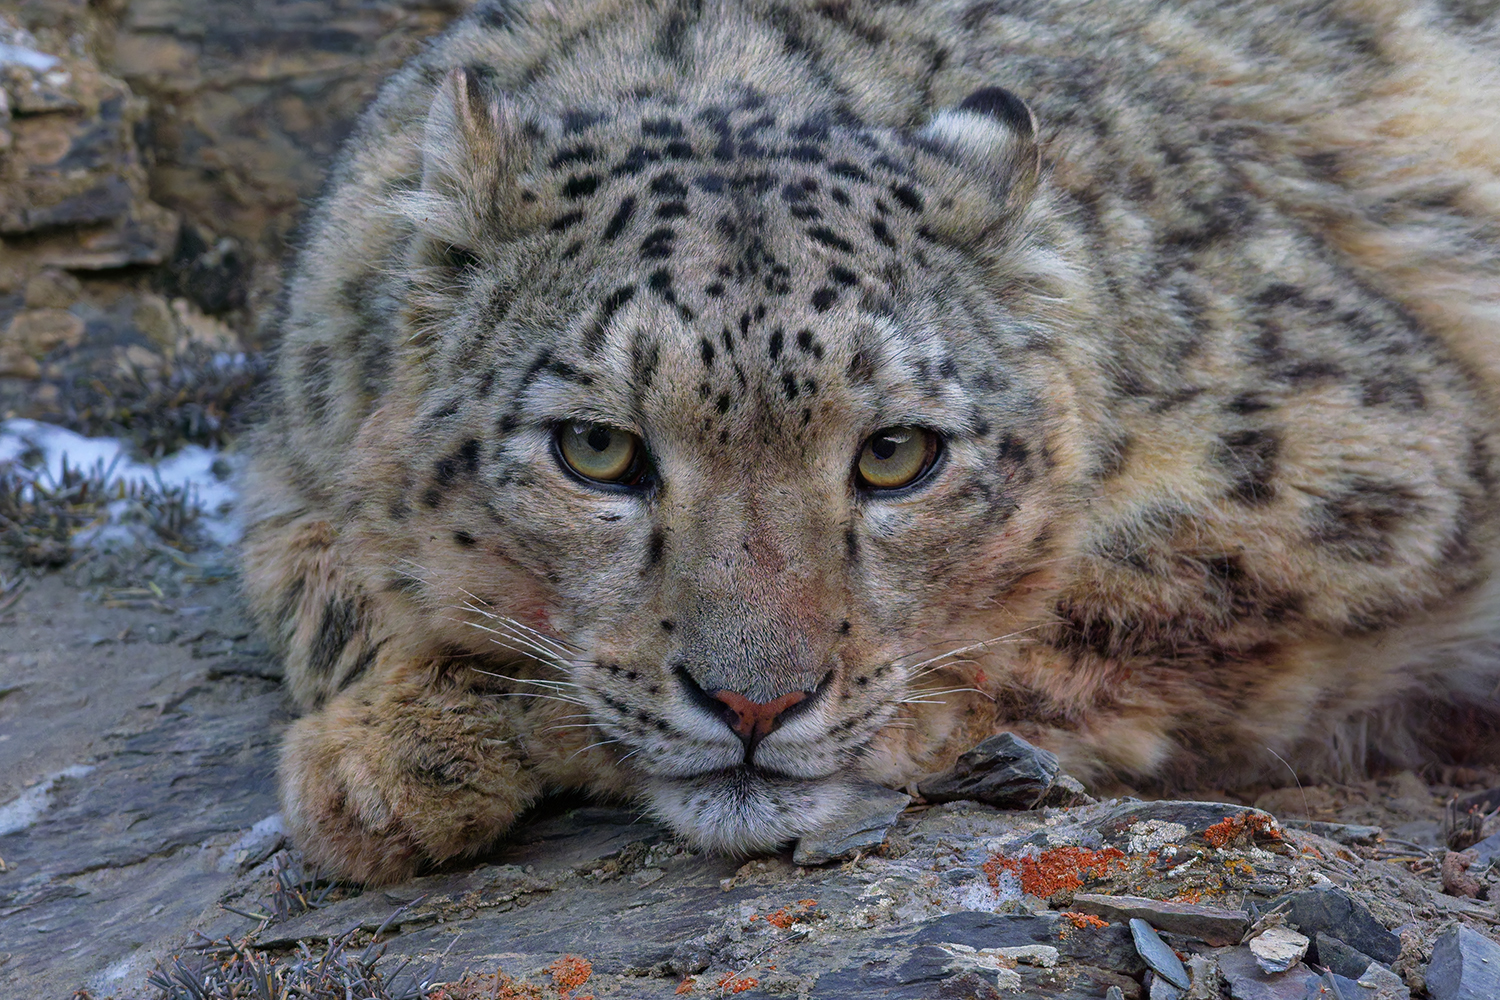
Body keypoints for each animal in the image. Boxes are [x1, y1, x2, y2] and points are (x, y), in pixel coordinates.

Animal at [241, 0, 1500, 885]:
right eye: (596, 448)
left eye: (898, 455)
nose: (755, 705)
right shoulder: (289, 464)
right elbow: (324, 593)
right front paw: (393, 756)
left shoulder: (1364, 440)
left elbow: (1102, 589)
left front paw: (401, 759)